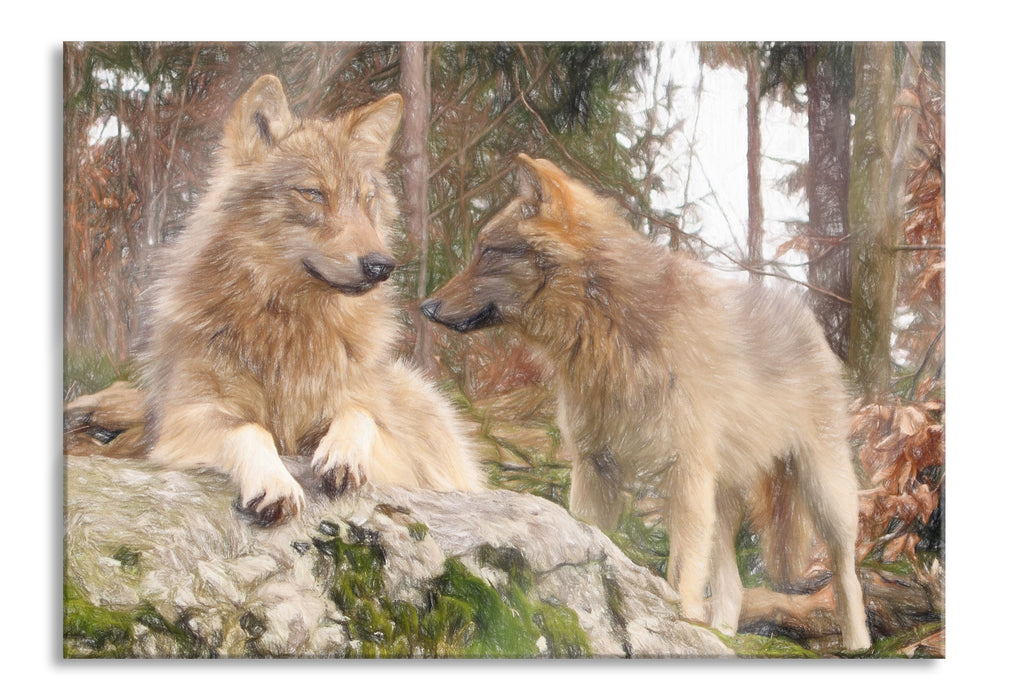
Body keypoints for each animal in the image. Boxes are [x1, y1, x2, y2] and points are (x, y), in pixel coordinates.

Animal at [81, 75, 484, 524]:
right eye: (312, 193)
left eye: (366, 199)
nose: (382, 265)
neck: (290, 324)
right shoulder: (183, 420)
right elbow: (250, 429)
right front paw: (274, 483)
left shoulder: (401, 455)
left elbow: (358, 414)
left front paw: (342, 455)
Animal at [421, 155, 871, 650]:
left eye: (487, 252)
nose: (425, 306)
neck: (608, 330)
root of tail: (803, 311)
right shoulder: (594, 467)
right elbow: (594, 541)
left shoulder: (685, 475)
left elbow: (682, 574)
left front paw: (681, 626)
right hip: (723, 501)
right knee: (732, 587)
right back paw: (722, 636)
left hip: (822, 490)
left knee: (846, 573)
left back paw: (858, 645)